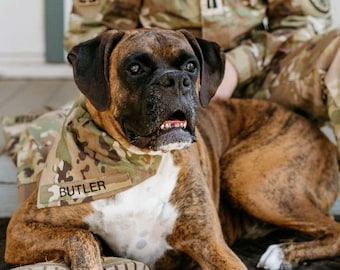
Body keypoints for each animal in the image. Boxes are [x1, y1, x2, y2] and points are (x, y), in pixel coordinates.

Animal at [4, 28, 340, 268]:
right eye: (135, 68)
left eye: (191, 66)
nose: (177, 80)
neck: (139, 162)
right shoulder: (19, 230)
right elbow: (81, 236)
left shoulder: (211, 246)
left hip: (249, 179)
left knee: (333, 229)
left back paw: (282, 254)